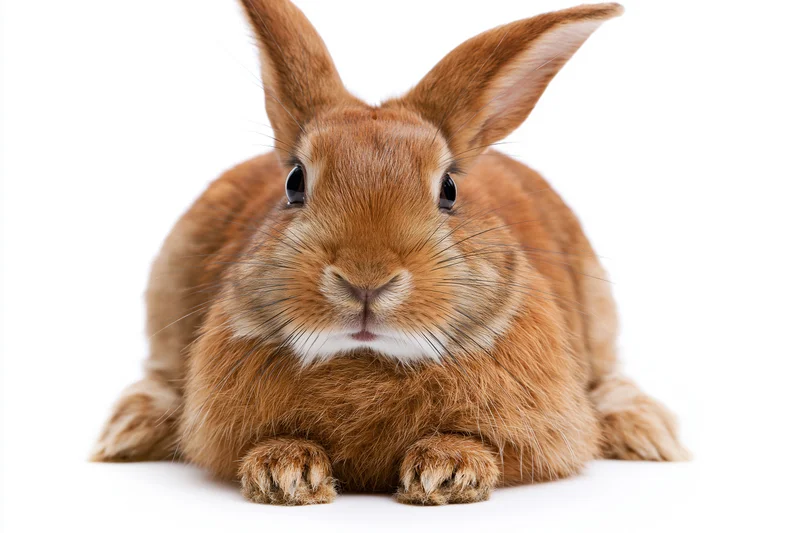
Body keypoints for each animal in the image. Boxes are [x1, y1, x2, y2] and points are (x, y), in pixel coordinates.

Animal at [91, 0, 689, 506]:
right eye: (294, 182)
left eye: (449, 189)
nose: (366, 280)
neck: (369, 358)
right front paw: (285, 472)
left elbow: (495, 447)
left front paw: (446, 471)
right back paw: (127, 433)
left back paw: (648, 434)